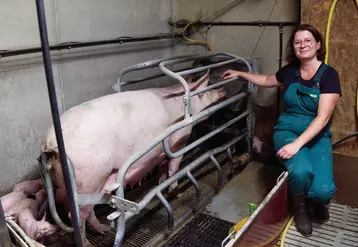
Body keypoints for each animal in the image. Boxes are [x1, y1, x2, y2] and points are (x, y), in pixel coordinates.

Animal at [41, 70, 227, 246]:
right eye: (207, 87)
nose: (222, 90)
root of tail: (49, 143)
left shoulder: (159, 152)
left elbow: (162, 166)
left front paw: (161, 182)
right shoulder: (179, 140)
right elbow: (173, 167)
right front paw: (176, 191)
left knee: (88, 211)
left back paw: (103, 230)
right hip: (87, 180)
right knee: (77, 216)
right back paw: (88, 243)